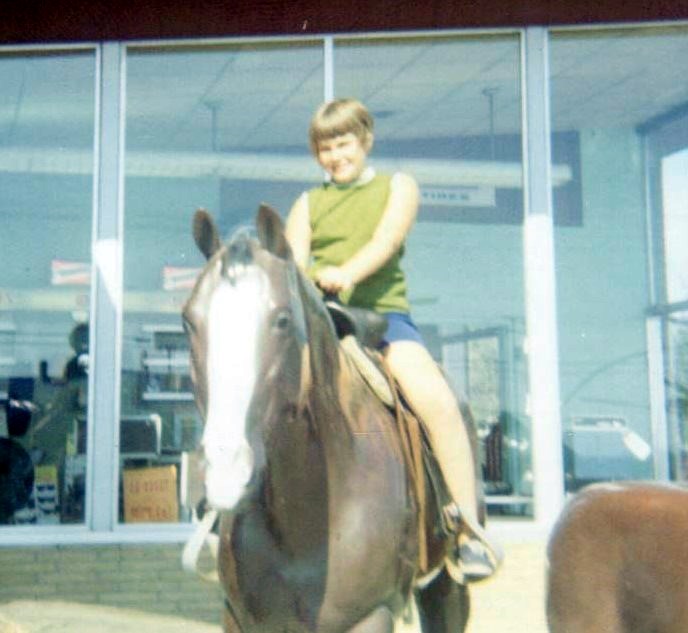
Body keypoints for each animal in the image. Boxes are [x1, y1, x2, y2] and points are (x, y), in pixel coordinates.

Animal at [182, 204, 478, 632]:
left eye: (283, 320)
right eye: (188, 321)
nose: (227, 468)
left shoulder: (371, 616)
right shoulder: (240, 617)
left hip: (449, 589)